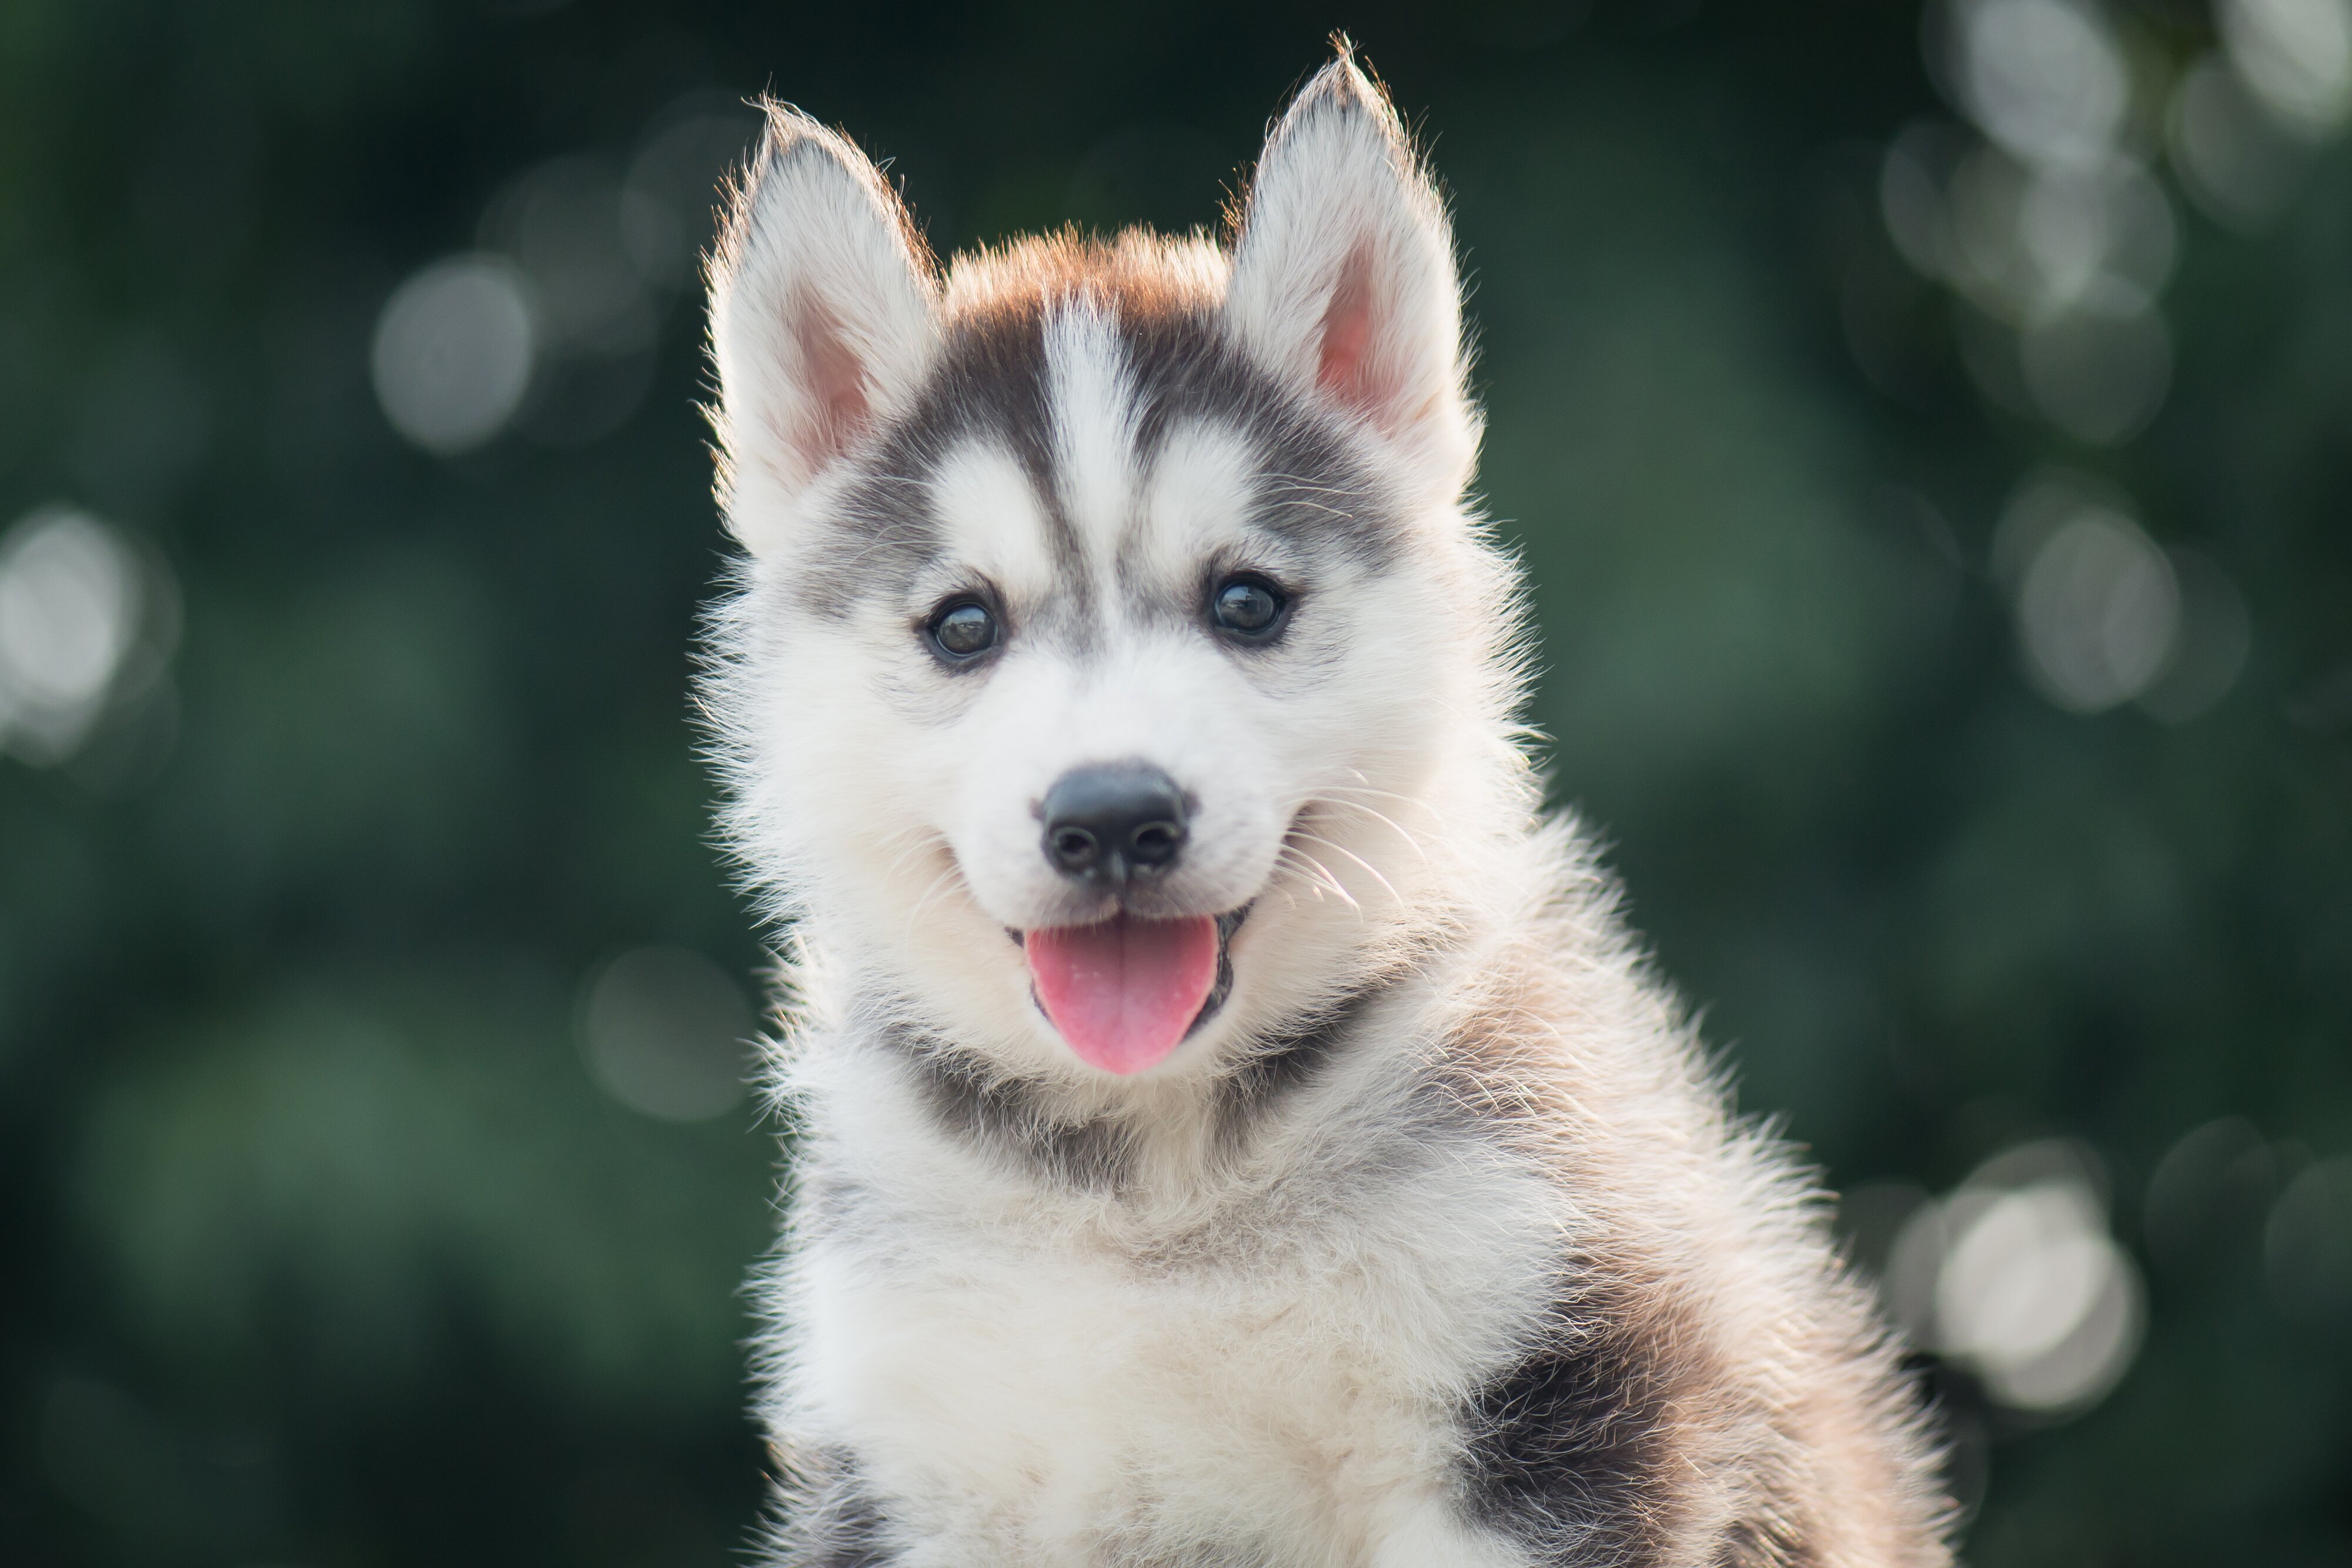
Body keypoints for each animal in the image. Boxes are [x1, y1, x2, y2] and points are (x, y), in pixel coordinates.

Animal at [696, 49, 1947, 1568]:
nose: (1113, 817)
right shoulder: (908, 1448)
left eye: (1246, 602)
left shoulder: (1542, 1381)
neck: (1146, 1187)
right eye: (962, 625)